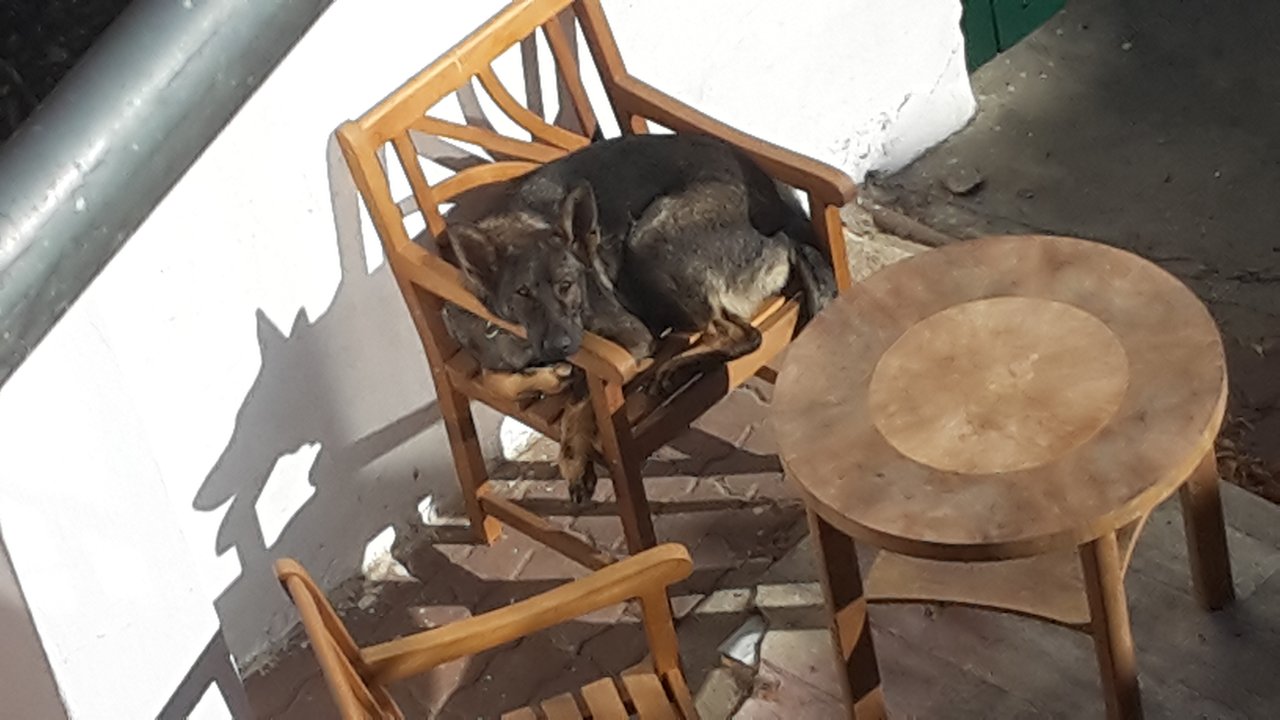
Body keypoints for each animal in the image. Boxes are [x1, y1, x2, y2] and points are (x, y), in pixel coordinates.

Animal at [440, 133, 837, 501]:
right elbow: (495, 377)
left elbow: (579, 397)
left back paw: (672, 367)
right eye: (522, 293)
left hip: (650, 235)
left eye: (567, 285)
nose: (561, 346)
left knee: (740, 334)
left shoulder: (629, 338)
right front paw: (550, 378)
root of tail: (784, 221)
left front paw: (573, 458)